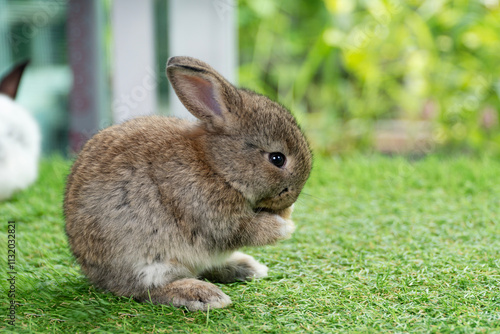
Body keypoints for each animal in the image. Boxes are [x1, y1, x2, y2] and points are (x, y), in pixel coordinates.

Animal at [63, 56, 312, 310]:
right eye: (277, 158)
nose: (293, 196)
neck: (217, 166)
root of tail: (95, 275)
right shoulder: (210, 217)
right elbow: (241, 231)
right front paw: (284, 226)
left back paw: (246, 267)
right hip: (149, 262)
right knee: (147, 290)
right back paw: (202, 294)